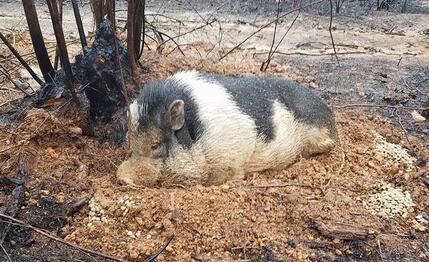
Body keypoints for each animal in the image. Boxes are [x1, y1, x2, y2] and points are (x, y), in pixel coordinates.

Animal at [115, 70, 336, 185]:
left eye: (155, 145)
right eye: (131, 145)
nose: (122, 177)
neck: (196, 134)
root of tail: (329, 112)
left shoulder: (230, 156)